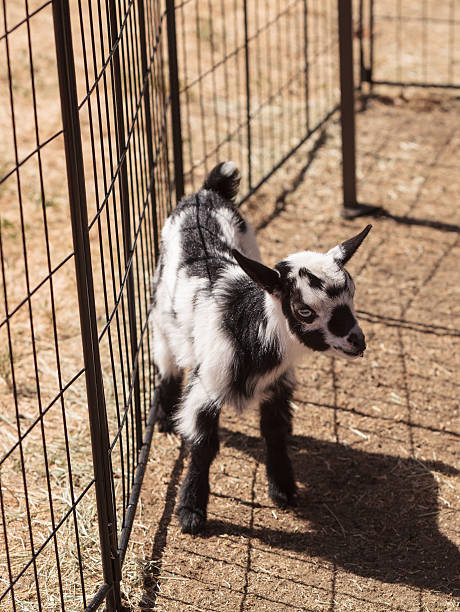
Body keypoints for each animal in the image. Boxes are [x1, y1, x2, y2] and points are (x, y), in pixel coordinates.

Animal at [151, 163, 370, 536]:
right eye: (304, 311)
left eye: (352, 295)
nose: (357, 341)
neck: (250, 331)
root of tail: (207, 192)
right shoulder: (205, 387)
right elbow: (203, 447)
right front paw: (191, 510)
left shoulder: (277, 385)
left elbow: (275, 432)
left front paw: (284, 488)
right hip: (163, 307)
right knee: (165, 355)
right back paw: (164, 415)